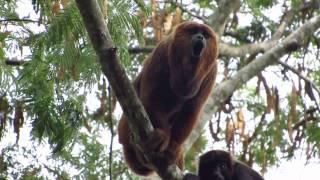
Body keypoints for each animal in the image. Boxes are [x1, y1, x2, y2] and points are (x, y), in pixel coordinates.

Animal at [119, 21, 219, 176]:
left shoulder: (212, 71)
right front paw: (163, 137)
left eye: (205, 34)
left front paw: (173, 147)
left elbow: (192, 110)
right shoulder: (162, 51)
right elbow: (151, 99)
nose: (200, 37)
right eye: (193, 31)